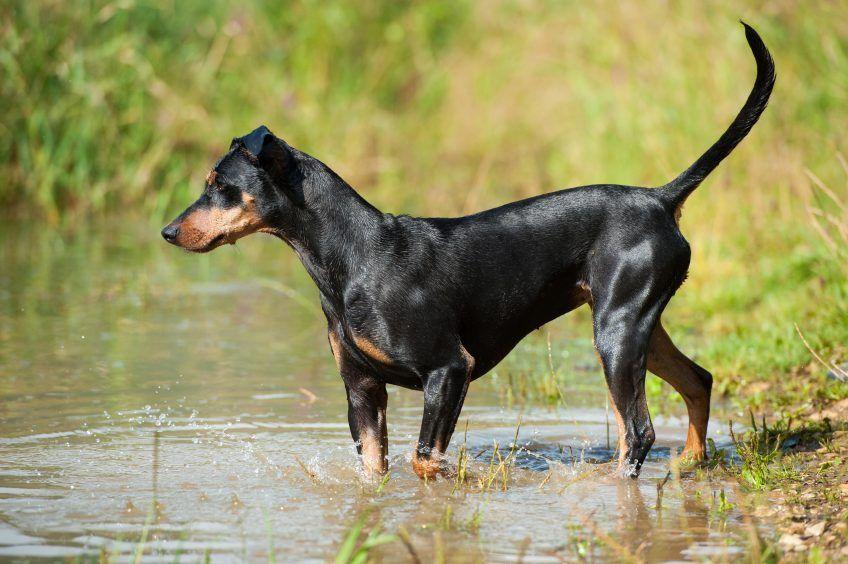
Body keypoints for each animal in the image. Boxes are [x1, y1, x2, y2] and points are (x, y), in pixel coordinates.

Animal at [161, 24, 776, 478]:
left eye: (220, 185)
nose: (168, 232)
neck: (353, 258)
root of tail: (659, 198)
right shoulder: (361, 389)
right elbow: (376, 471)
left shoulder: (449, 370)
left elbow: (424, 461)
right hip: (637, 323)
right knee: (699, 380)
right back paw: (691, 464)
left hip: (617, 332)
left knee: (638, 431)